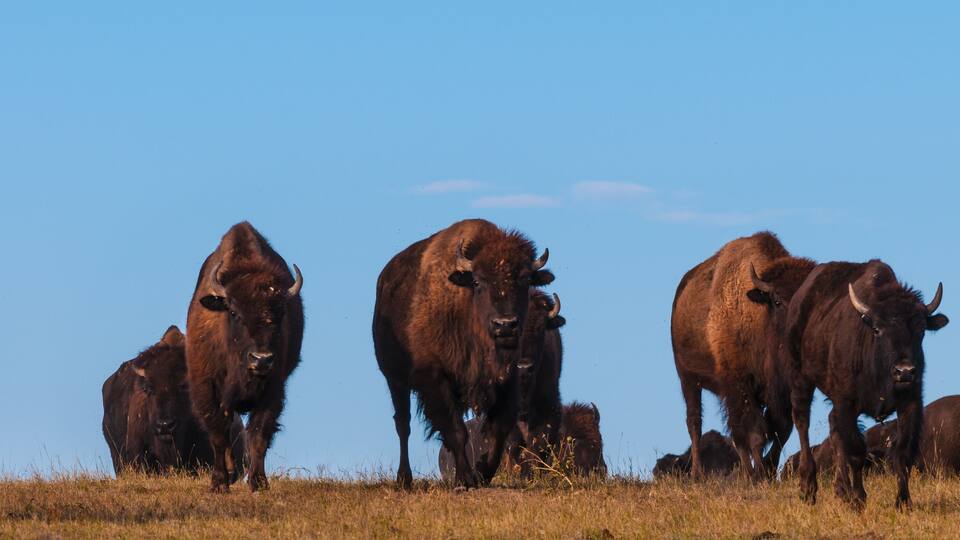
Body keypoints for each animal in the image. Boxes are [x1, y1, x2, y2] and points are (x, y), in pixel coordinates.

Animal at [186, 222, 304, 492]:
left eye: (279, 315)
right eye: (234, 312)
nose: (261, 359)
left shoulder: (273, 389)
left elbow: (259, 434)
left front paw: (259, 482)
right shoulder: (207, 387)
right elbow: (219, 435)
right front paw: (219, 483)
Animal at [374, 219, 554, 489]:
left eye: (524, 280)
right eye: (478, 282)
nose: (505, 325)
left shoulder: (506, 379)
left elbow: (498, 429)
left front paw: (482, 473)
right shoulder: (436, 379)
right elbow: (456, 429)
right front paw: (466, 479)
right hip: (395, 380)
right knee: (403, 424)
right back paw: (404, 479)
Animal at [671, 231, 815, 478]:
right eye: (777, 301)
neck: (759, 317)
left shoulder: (781, 391)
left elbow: (781, 430)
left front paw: (768, 469)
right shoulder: (740, 385)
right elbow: (754, 433)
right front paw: (757, 475)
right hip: (688, 380)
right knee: (695, 423)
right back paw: (698, 474)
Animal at [784, 259, 947, 509]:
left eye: (921, 329)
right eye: (878, 329)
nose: (904, 371)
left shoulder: (911, 404)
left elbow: (902, 453)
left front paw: (903, 502)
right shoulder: (846, 403)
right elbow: (856, 452)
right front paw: (858, 499)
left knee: (833, 427)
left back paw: (841, 489)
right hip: (800, 377)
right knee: (802, 422)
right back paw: (809, 489)